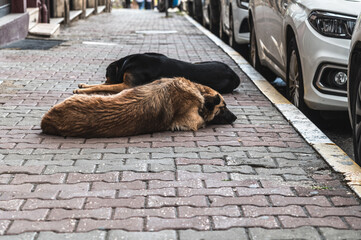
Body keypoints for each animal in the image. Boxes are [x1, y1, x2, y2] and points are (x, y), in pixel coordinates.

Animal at [40, 76, 236, 137]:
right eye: (224, 108)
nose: (235, 118)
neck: (198, 91)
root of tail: (46, 120)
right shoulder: (192, 121)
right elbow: (202, 121)